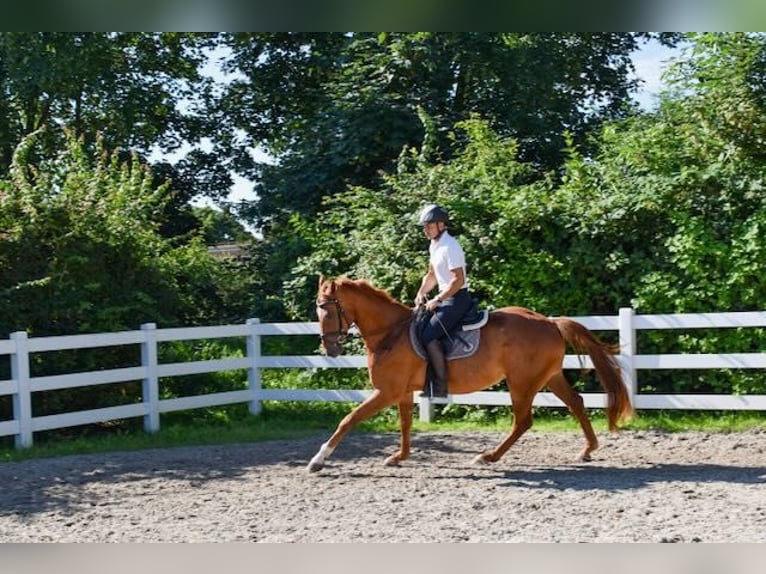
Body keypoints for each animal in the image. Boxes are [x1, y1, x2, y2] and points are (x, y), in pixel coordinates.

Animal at [306, 276, 636, 474]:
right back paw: (588, 449)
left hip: (521, 382)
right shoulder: (403, 392)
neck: (390, 333)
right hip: (549, 376)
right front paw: (399, 457)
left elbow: (349, 419)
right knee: (576, 402)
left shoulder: (387, 391)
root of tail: (550, 322)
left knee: (523, 421)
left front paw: (318, 460)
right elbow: (405, 424)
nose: (329, 348)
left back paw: (488, 456)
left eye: (327, 310)